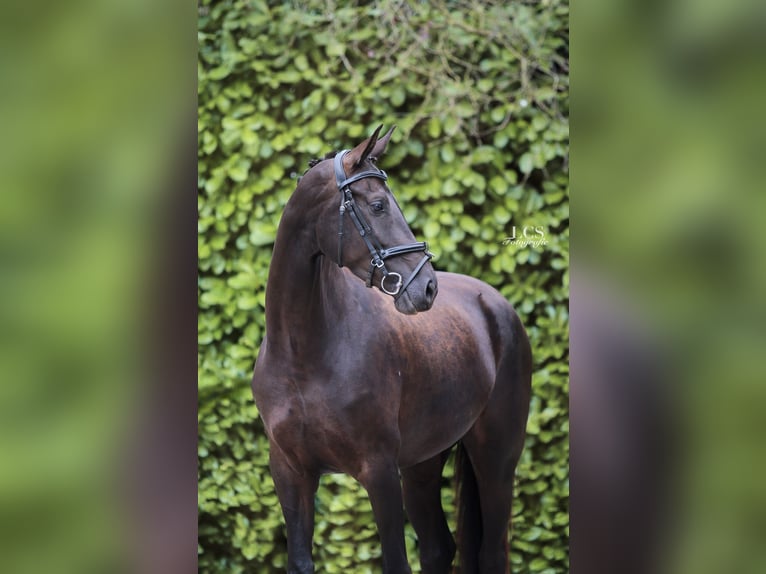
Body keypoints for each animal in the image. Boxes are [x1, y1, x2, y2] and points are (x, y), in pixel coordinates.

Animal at [255, 127, 532, 574]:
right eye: (378, 205)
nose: (427, 287)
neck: (303, 353)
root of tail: (494, 302)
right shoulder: (290, 473)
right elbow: (300, 561)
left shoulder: (380, 472)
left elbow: (395, 562)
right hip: (422, 465)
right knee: (438, 548)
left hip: (496, 460)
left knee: (489, 552)